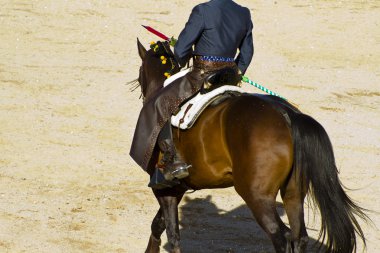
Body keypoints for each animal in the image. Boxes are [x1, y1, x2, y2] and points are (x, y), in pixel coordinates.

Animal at [131, 39, 368, 253]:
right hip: (293, 192)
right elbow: (162, 225)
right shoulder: (177, 187)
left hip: (257, 196)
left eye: (140, 71)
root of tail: (288, 115)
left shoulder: (165, 188)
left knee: (282, 237)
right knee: (299, 237)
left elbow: (170, 233)